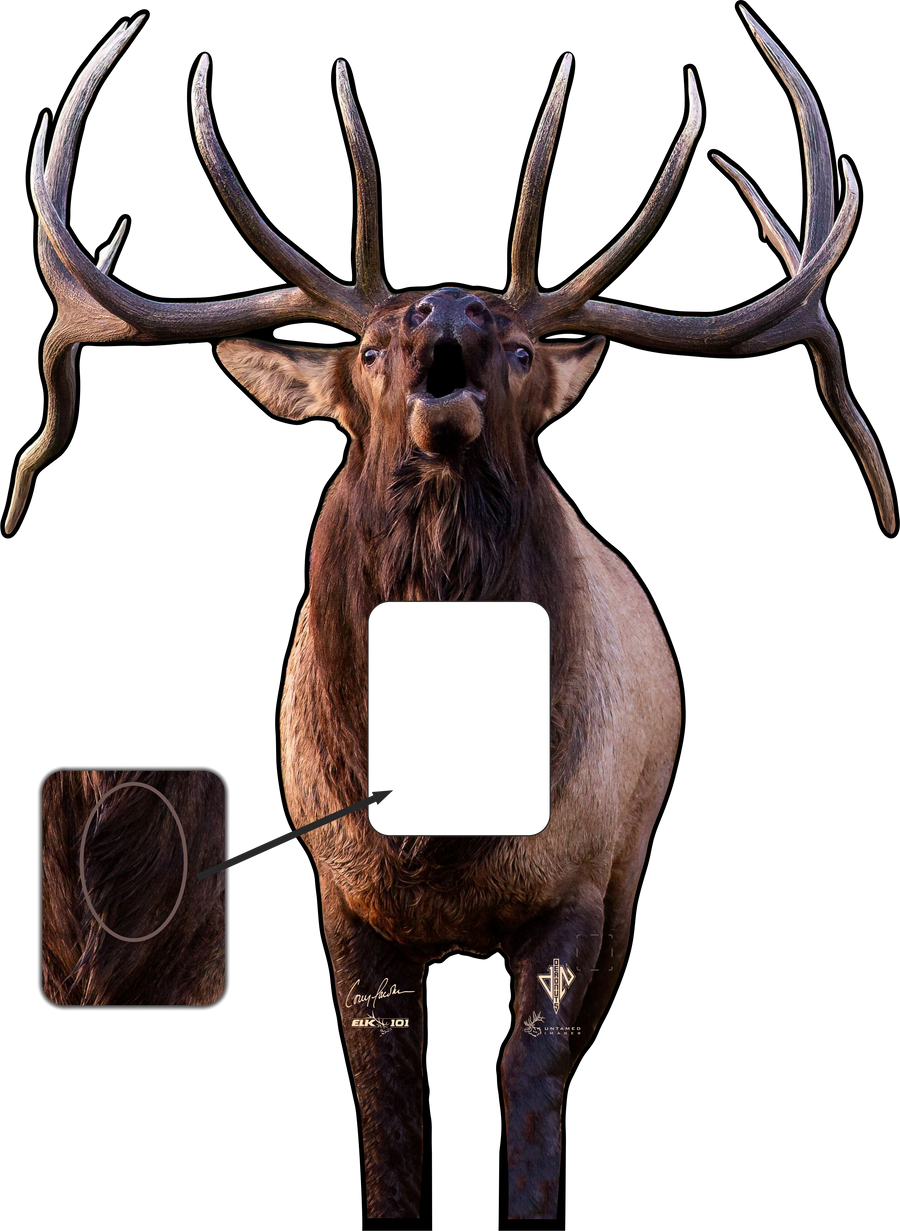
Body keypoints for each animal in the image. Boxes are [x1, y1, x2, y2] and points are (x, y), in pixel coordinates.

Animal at [14, 8, 893, 1219]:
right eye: (369, 348)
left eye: (519, 348)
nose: (447, 318)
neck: (446, 840)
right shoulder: (340, 892)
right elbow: (386, 1098)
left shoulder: (582, 876)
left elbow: (530, 1077)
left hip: (636, 854)